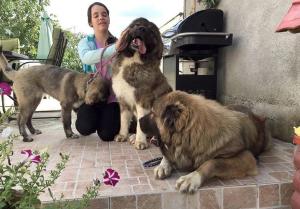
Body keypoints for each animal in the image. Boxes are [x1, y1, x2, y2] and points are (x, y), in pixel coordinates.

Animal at [112, 17, 173, 149]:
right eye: (137, 24)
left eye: (151, 31)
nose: (142, 29)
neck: (133, 60)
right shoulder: (123, 100)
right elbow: (123, 120)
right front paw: (123, 135)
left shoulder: (143, 100)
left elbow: (140, 123)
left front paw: (140, 142)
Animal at [139, 90, 270, 193]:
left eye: (153, 113)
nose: (138, 120)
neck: (192, 134)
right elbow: (167, 156)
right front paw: (163, 165)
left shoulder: (247, 157)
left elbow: (212, 162)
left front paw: (192, 178)